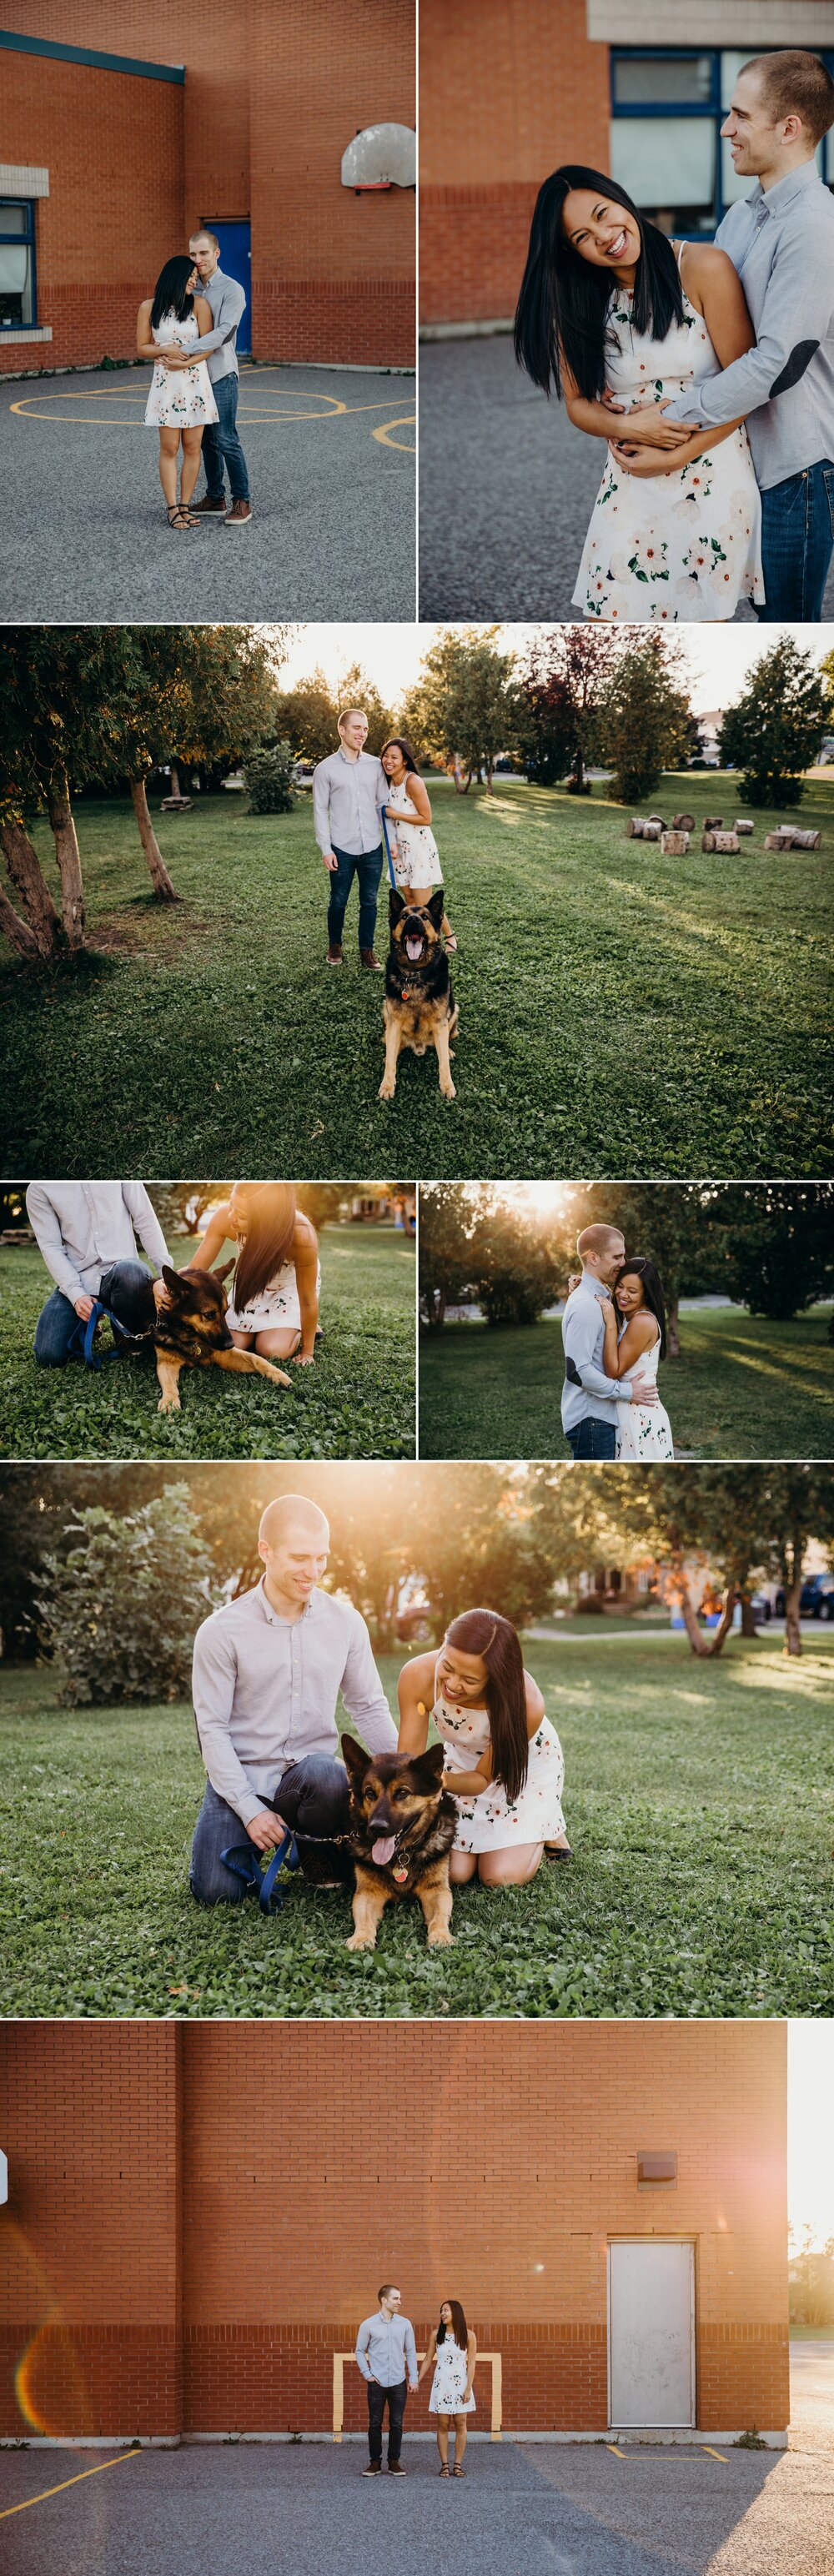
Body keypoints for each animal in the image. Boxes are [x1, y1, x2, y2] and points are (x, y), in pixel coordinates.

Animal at [125, 1272, 292, 1422]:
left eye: (226, 1312)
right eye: (210, 1315)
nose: (231, 1344)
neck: (190, 1334)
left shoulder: (226, 1356)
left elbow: (256, 1358)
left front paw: (278, 1374)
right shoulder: (167, 1363)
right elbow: (169, 1384)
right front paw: (170, 1400)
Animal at [339, 1741, 455, 1936]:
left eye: (402, 1792)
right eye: (370, 1793)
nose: (377, 1828)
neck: (401, 1854)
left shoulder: (437, 1890)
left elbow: (439, 1917)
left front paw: (440, 1936)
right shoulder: (367, 1893)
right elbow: (364, 1922)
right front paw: (360, 1938)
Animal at [378, 891, 458, 1102]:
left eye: (425, 917)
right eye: (404, 916)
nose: (413, 919)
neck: (414, 976)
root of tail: (419, 1045)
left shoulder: (440, 1022)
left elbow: (444, 1063)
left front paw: (447, 1085)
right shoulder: (395, 1021)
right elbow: (391, 1061)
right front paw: (387, 1085)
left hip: (454, 1009)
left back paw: (447, 1050)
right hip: (386, 1011)